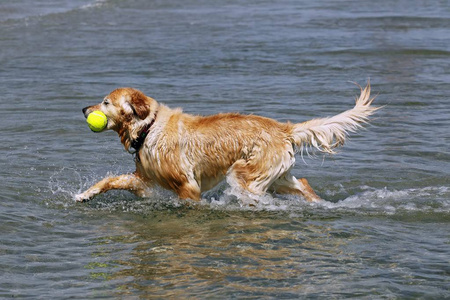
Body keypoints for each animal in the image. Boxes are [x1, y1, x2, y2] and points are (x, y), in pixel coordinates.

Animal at [75, 82, 378, 204]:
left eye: (105, 102)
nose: (84, 109)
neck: (149, 128)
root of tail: (283, 128)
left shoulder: (188, 186)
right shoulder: (145, 179)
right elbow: (111, 180)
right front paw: (85, 194)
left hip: (244, 173)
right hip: (277, 175)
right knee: (303, 184)